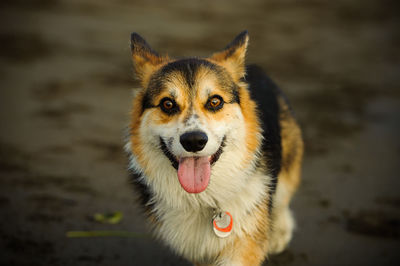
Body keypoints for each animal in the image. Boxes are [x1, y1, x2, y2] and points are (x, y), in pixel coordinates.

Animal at [125, 30, 304, 264]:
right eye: (167, 104)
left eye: (215, 101)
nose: (193, 141)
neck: (203, 199)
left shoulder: (243, 244)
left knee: (283, 195)